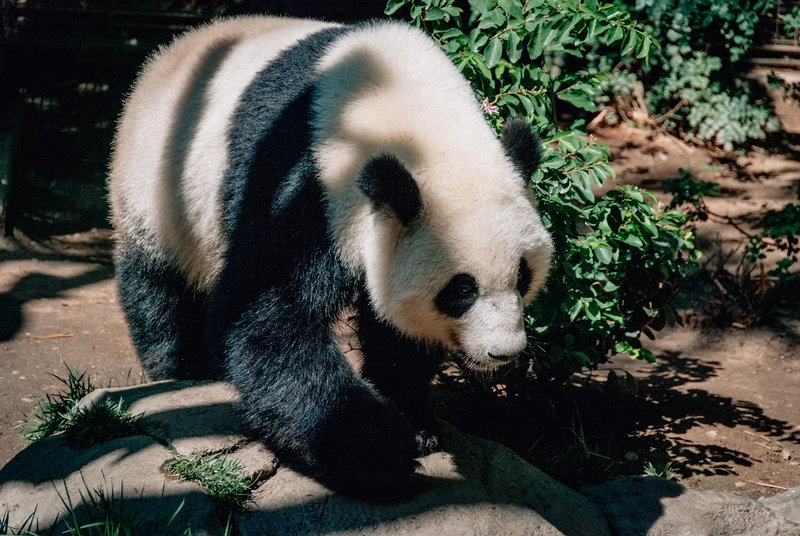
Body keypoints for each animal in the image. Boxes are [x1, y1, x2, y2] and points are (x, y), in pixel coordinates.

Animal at [109, 14, 552, 498]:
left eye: (523, 276)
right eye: (462, 290)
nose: (503, 353)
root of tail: (171, 50)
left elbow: (396, 329)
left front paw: (415, 423)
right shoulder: (307, 185)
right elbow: (267, 318)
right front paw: (378, 452)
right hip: (159, 180)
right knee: (157, 279)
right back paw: (182, 365)